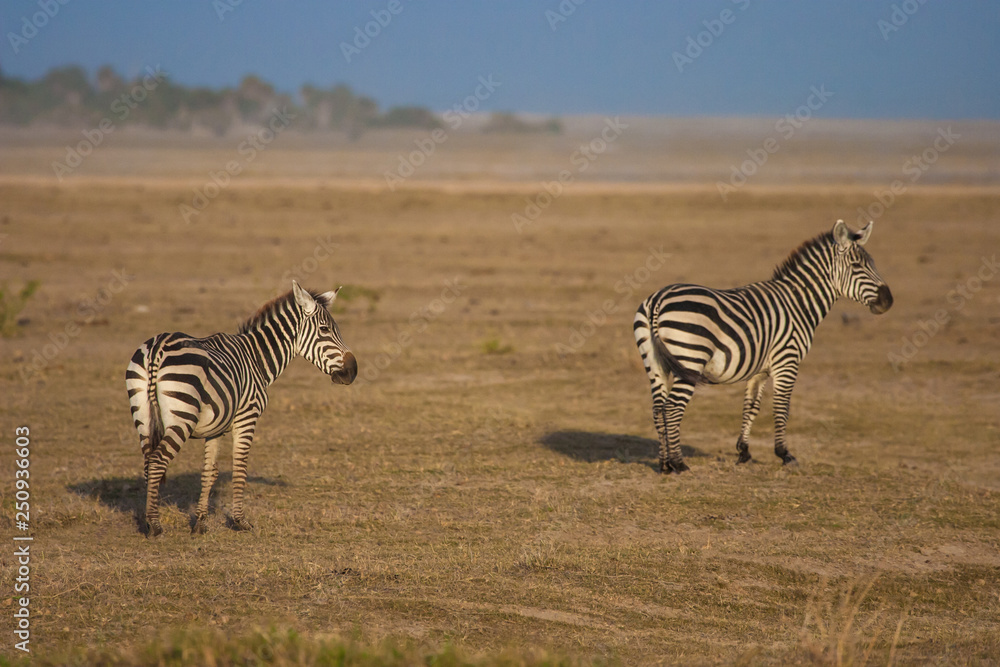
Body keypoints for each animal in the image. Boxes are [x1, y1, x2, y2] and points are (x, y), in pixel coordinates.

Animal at [127, 282, 358, 536]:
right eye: (325, 330)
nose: (353, 371)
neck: (256, 358)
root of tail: (157, 348)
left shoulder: (216, 428)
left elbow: (209, 472)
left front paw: (201, 522)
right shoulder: (247, 417)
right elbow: (240, 468)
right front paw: (240, 521)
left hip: (143, 415)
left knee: (148, 463)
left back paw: (148, 518)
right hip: (182, 418)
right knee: (157, 461)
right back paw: (155, 525)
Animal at [632, 222, 892, 472]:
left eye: (872, 264)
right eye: (857, 266)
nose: (888, 301)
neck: (799, 303)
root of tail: (657, 301)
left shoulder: (760, 369)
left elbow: (751, 406)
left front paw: (743, 452)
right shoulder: (787, 361)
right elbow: (782, 407)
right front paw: (785, 454)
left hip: (655, 364)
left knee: (658, 408)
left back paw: (664, 464)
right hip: (690, 360)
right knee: (673, 408)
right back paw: (679, 463)